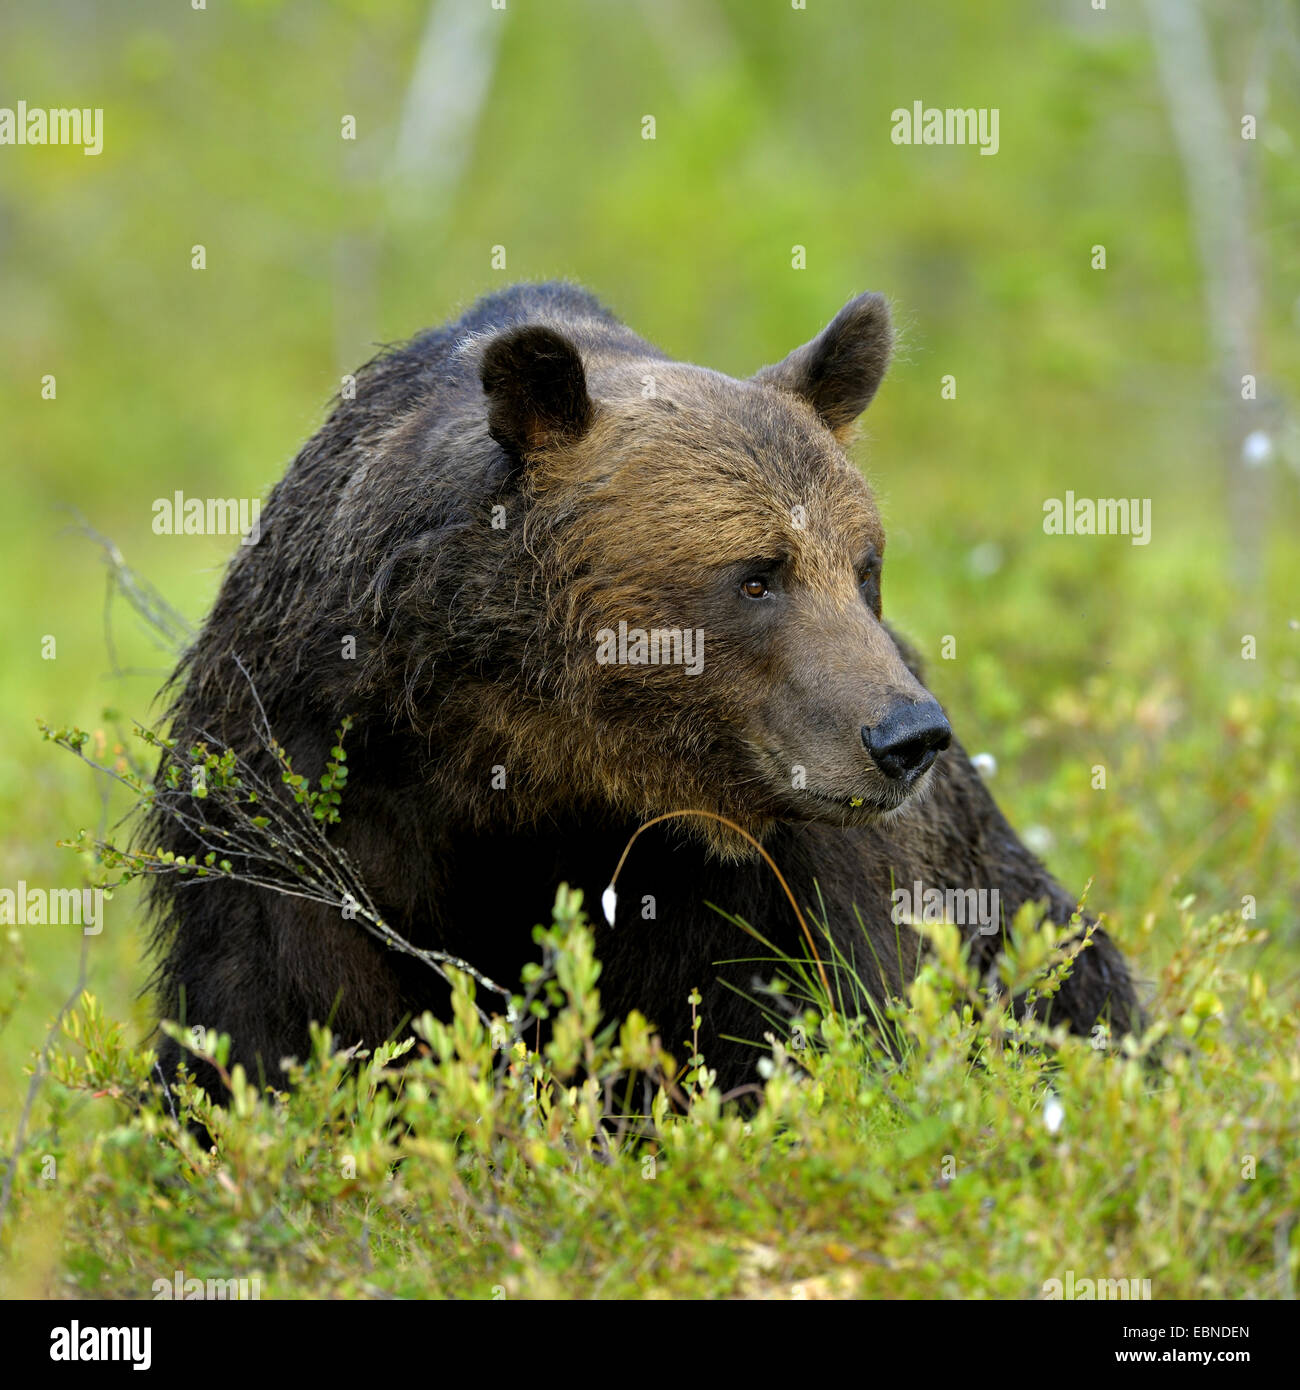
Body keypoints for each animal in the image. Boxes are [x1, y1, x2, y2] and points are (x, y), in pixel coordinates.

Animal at [150, 279, 1140, 1095]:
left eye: (865, 568)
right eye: (756, 577)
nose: (908, 737)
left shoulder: (780, 874)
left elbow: (808, 1019)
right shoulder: (316, 776)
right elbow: (281, 1019)